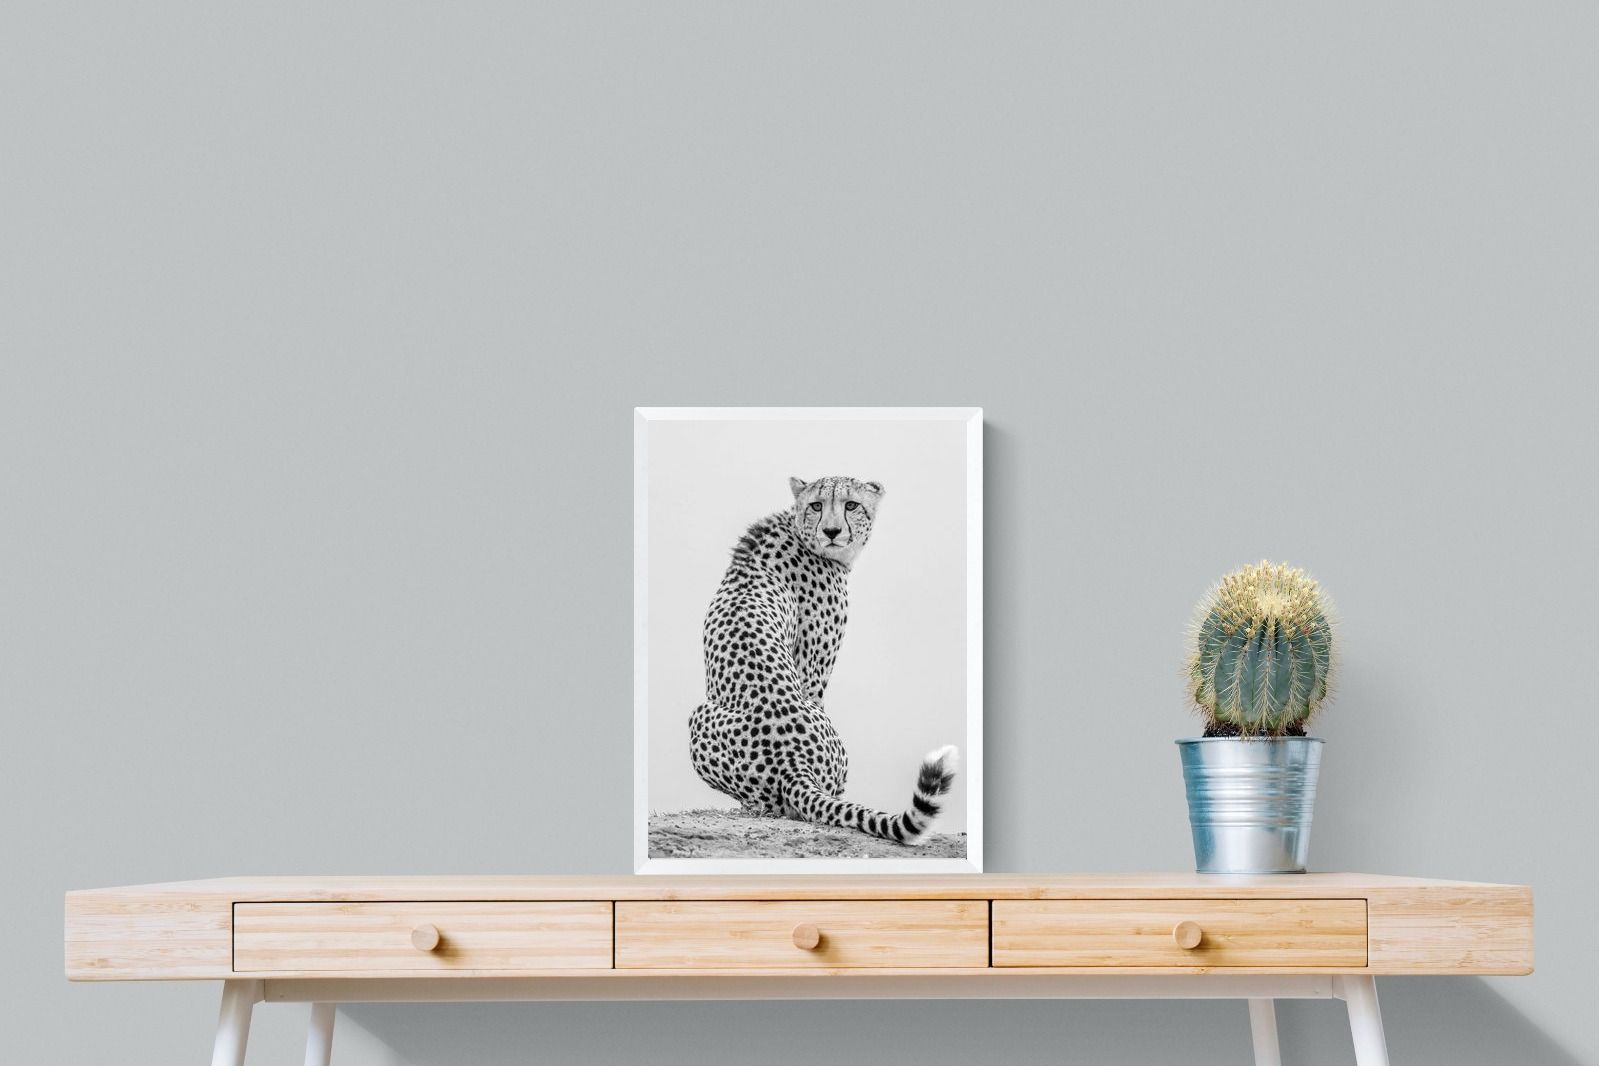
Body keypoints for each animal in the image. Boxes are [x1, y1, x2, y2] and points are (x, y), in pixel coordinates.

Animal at [688, 474, 958, 846]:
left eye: (851, 504)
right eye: (817, 505)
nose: (831, 531)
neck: (799, 531)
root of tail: (792, 763)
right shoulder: (812, 670)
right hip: (700, 716)